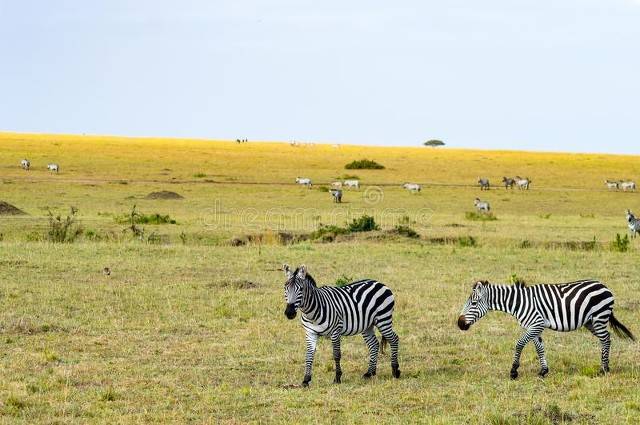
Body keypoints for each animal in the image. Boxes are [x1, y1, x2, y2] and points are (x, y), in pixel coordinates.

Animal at [458, 278, 632, 378]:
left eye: (473, 303)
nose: (459, 324)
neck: (519, 302)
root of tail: (604, 286)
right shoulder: (535, 327)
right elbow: (539, 348)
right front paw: (543, 371)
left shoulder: (536, 324)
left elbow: (519, 344)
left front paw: (514, 371)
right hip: (590, 322)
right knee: (607, 338)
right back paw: (605, 366)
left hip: (599, 317)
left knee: (606, 339)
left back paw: (604, 369)